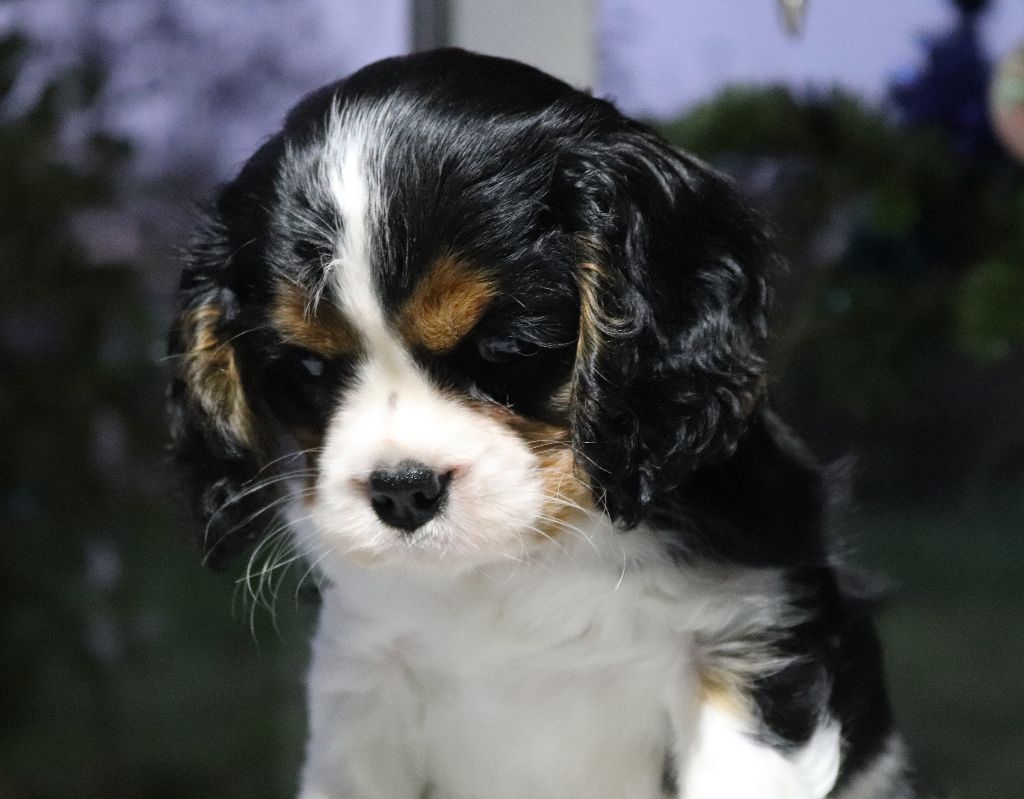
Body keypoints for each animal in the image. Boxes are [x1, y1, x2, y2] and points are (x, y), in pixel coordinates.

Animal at [168, 49, 917, 798]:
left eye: (510, 348)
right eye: (306, 368)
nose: (402, 490)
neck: (527, 559)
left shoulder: (746, 652)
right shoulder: (366, 685)